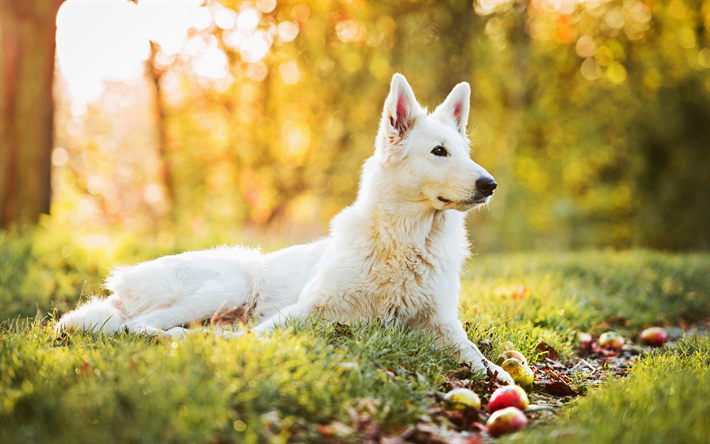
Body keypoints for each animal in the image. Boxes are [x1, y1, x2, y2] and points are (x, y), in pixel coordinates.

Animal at [55, 74, 512, 384]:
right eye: (439, 152)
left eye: (464, 152)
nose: (490, 184)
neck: (405, 243)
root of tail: (124, 281)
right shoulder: (306, 308)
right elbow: (263, 334)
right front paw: (234, 345)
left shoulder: (442, 322)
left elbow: (473, 353)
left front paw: (497, 375)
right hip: (231, 282)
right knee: (136, 324)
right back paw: (178, 337)